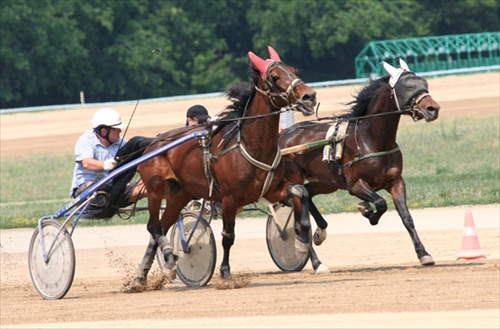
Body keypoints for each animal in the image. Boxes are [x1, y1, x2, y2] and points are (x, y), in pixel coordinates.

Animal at [113, 46, 316, 282]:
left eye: (294, 70)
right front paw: (225, 272)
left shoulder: (271, 190)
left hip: (179, 194)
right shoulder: (230, 198)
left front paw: (302, 239)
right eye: (274, 77)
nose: (309, 96)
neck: (249, 144)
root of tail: (153, 142)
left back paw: (144, 275)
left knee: (161, 226)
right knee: (154, 227)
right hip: (155, 189)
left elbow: (300, 192)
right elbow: (228, 236)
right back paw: (169, 259)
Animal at [282, 58, 442, 270]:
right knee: (300, 219)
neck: (372, 140)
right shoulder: (355, 185)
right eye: (408, 87)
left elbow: (406, 217)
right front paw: (367, 211)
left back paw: (320, 232)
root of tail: (283, 135)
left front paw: (423, 253)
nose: (433, 109)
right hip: (295, 180)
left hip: (326, 182)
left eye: (425, 84)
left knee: (308, 193)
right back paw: (316, 262)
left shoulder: (396, 182)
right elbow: (381, 203)